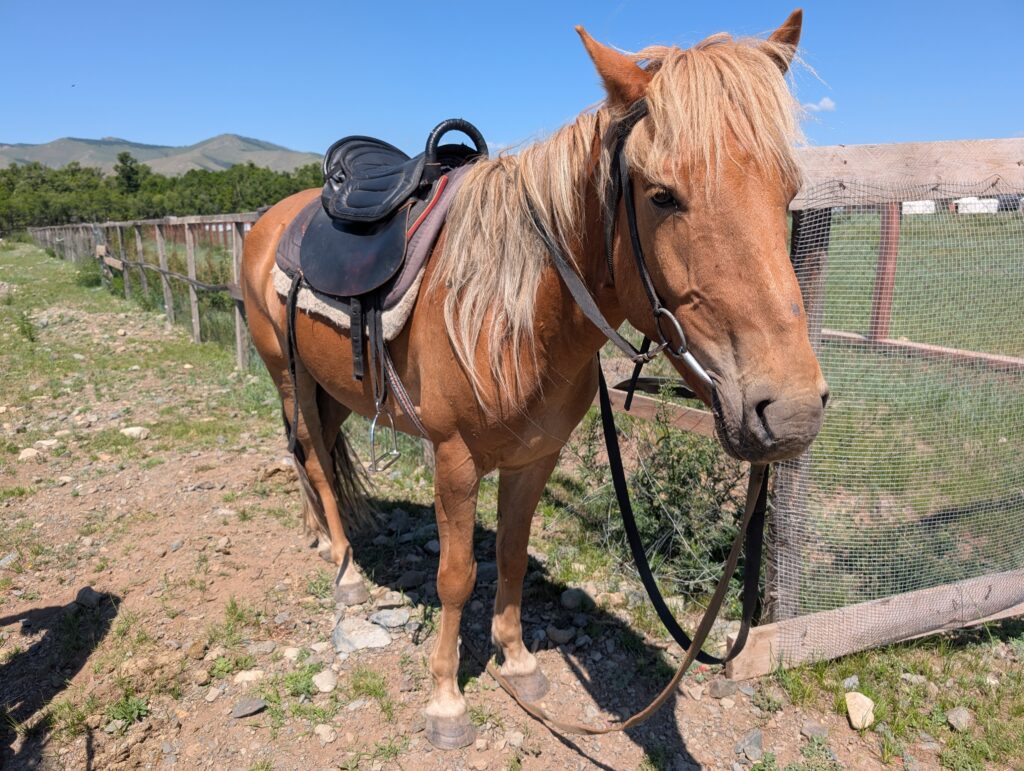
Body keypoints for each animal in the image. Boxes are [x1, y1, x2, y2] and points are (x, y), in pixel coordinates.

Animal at [241, 10, 828, 749]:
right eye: (662, 195)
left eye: (788, 190)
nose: (792, 411)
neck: (513, 313)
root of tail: (267, 222)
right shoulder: (455, 460)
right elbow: (457, 574)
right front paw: (445, 701)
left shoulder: (535, 458)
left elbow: (515, 557)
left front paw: (517, 663)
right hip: (284, 371)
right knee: (311, 453)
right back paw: (344, 568)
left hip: (332, 387)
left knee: (308, 448)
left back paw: (323, 534)